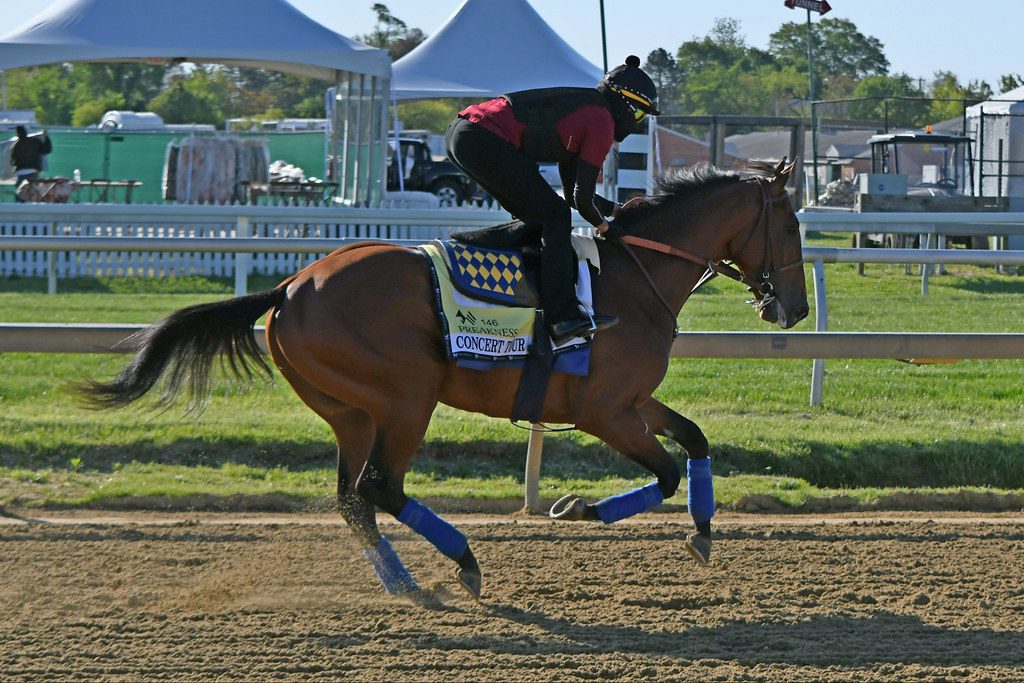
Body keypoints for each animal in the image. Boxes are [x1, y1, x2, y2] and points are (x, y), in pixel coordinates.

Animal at [79, 158, 806, 598]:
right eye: (794, 225)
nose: (795, 308)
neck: (632, 275)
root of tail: (289, 286)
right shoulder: (603, 409)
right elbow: (667, 470)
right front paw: (584, 507)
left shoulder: (630, 399)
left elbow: (696, 439)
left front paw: (703, 531)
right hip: (407, 397)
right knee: (379, 486)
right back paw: (463, 562)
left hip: (351, 411)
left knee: (352, 498)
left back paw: (405, 585)